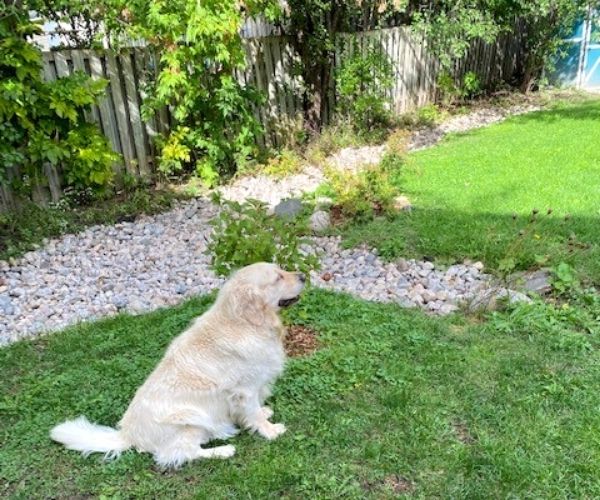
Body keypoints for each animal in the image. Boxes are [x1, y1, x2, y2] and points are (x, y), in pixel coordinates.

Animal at [49, 262, 304, 468]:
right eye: (277, 278)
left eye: (282, 269)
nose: (302, 275)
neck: (244, 323)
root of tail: (128, 435)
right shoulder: (245, 389)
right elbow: (254, 414)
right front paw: (271, 431)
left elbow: (255, 410)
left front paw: (264, 412)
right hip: (191, 420)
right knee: (180, 454)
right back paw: (223, 450)